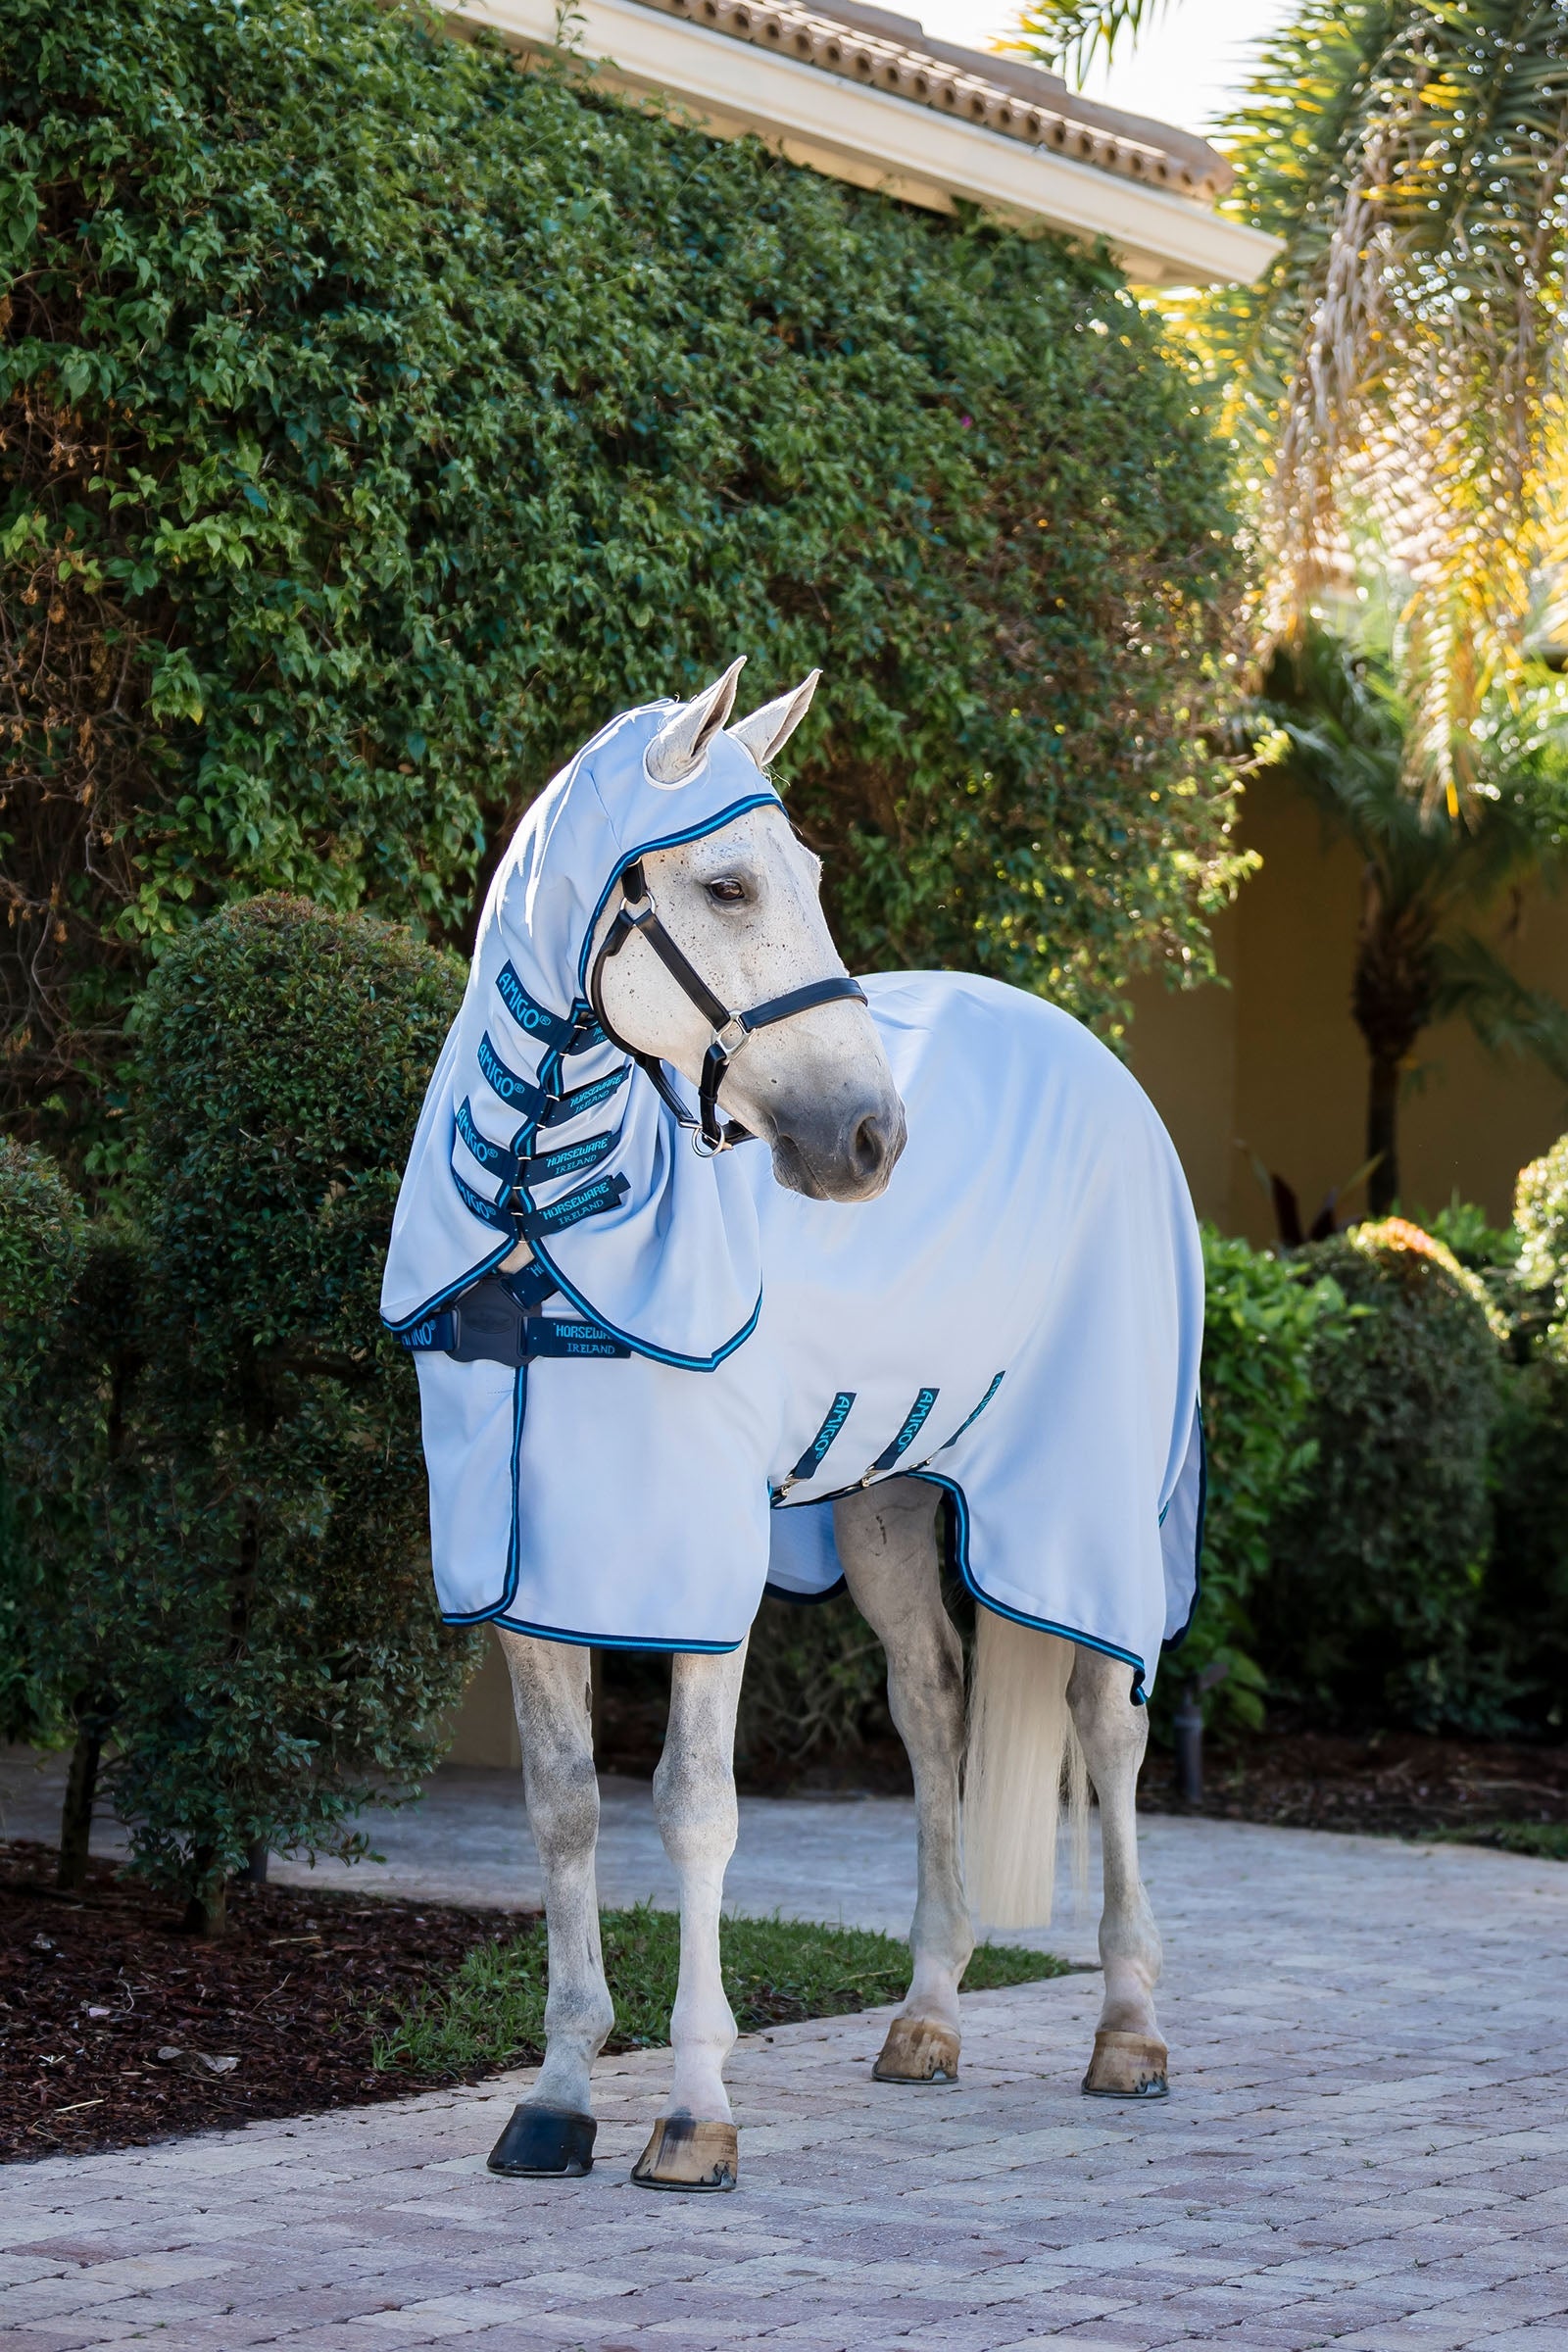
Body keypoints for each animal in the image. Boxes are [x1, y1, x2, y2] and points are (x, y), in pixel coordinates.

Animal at [382, 659, 1205, 2192]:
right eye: (726, 884)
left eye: (807, 875)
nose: (874, 1141)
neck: (542, 1221)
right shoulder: (526, 1574)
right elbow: (565, 1810)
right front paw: (560, 2097)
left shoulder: (695, 1567)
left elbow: (694, 1811)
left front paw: (694, 2109)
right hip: (881, 1500)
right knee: (933, 1704)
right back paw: (928, 2015)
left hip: (1085, 1500)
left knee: (1105, 1723)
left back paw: (1128, 2029)